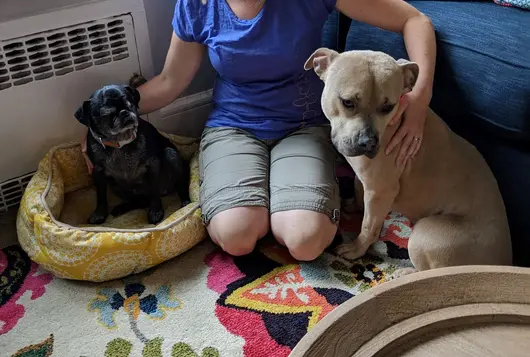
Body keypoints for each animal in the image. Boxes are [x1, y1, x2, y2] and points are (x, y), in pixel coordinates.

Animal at [73, 84, 190, 224]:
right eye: (107, 114)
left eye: (130, 105)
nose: (124, 112)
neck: (120, 143)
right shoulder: (98, 172)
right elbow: (101, 196)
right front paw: (99, 214)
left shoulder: (153, 166)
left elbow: (154, 192)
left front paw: (155, 211)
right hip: (116, 187)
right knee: (141, 201)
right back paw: (122, 208)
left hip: (171, 155)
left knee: (179, 185)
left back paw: (185, 201)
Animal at [304, 48, 510, 276]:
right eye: (347, 102)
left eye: (388, 107)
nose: (369, 142)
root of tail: (502, 263)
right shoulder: (369, 182)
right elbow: (359, 189)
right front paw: (356, 206)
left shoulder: (381, 190)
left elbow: (368, 225)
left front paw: (357, 248)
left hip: (424, 235)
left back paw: (404, 273)